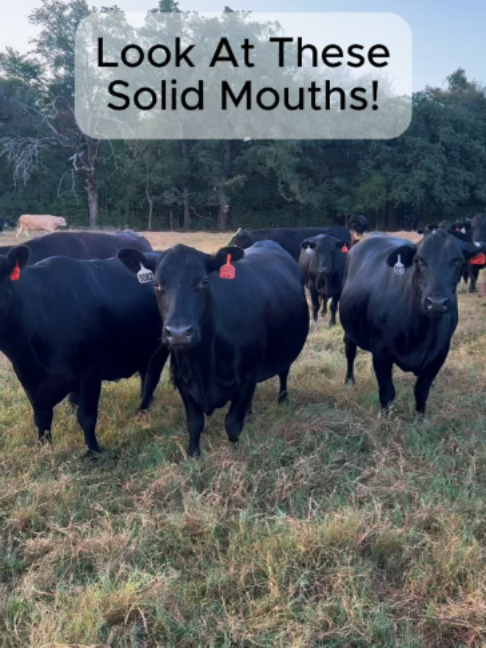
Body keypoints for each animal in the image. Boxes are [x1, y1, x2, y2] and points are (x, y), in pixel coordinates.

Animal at [0, 245, 168, 455]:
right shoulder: (27, 378)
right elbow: (42, 417)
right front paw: (43, 449)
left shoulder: (90, 371)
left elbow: (86, 416)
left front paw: (93, 451)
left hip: (162, 346)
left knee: (152, 378)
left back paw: (141, 412)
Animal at [118, 241, 309, 457]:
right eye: (156, 284)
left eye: (204, 281)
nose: (178, 333)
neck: (204, 365)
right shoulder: (183, 379)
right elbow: (194, 423)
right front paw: (193, 454)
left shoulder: (248, 376)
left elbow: (233, 424)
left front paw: (235, 452)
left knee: (284, 373)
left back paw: (283, 399)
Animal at [339, 229, 483, 415]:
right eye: (419, 260)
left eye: (458, 260)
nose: (436, 302)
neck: (420, 332)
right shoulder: (380, 352)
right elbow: (387, 392)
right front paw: (386, 417)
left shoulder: (440, 353)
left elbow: (421, 390)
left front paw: (419, 417)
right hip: (349, 328)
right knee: (350, 350)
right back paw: (350, 381)